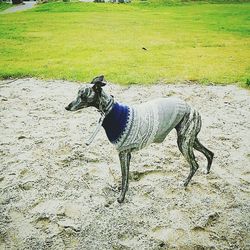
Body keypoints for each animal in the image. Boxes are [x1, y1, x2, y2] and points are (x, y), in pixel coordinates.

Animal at [65, 75, 214, 202]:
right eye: (77, 93)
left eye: (82, 96)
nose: (66, 107)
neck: (110, 110)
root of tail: (193, 109)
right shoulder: (127, 154)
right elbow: (126, 178)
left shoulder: (123, 153)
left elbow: (124, 178)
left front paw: (121, 198)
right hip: (190, 140)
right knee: (210, 153)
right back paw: (206, 171)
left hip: (183, 142)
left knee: (194, 164)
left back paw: (184, 183)